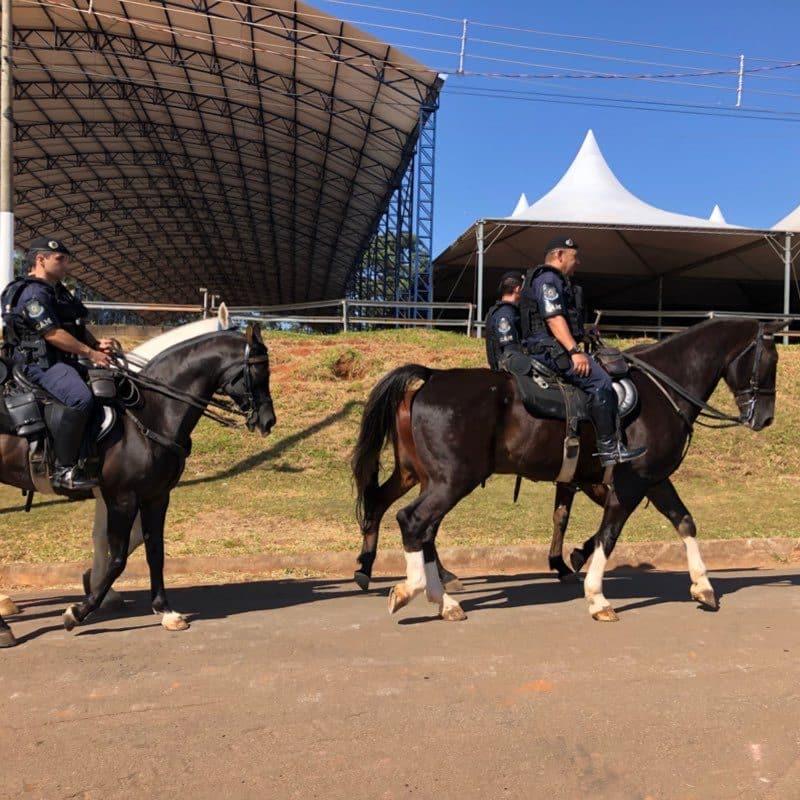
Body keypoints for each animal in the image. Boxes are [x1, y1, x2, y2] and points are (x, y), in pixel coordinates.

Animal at [0, 322, 276, 648]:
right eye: (259, 372)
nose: (268, 421)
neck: (150, 414)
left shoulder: (155, 496)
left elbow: (153, 549)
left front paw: (164, 610)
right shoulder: (121, 498)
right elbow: (117, 555)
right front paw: (79, 611)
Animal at [350, 318, 780, 620]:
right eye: (770, 360)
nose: (765, 419)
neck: (662, 390)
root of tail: (432, 377)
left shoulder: (653, 479)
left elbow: (684, 521)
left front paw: (703, 586)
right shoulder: (630, 482)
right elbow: (609, 534)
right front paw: (596, 595)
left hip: (425, 477)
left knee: (402, 516)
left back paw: (429, 593)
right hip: (451, 480)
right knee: (412, 521)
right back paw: (417, 590)